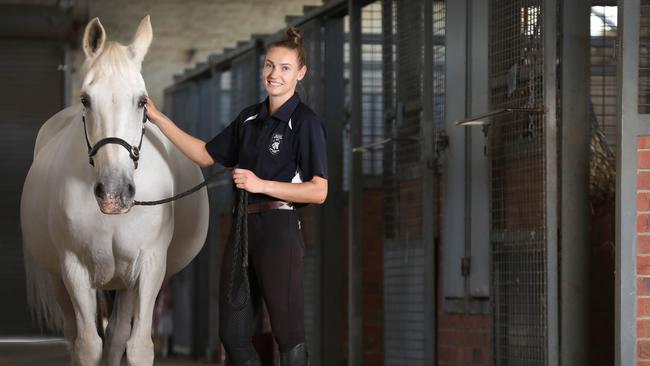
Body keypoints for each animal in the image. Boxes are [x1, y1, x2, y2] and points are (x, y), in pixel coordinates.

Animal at [20, 15, 206, 366]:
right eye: (86, 99)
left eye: (142, 100)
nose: (114, 193)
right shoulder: (75, 268)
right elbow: (88, 346)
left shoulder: (149, 267)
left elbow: (137, 346)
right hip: (60, 279)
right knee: (75, 334)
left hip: (124, 282)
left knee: (118, 334)